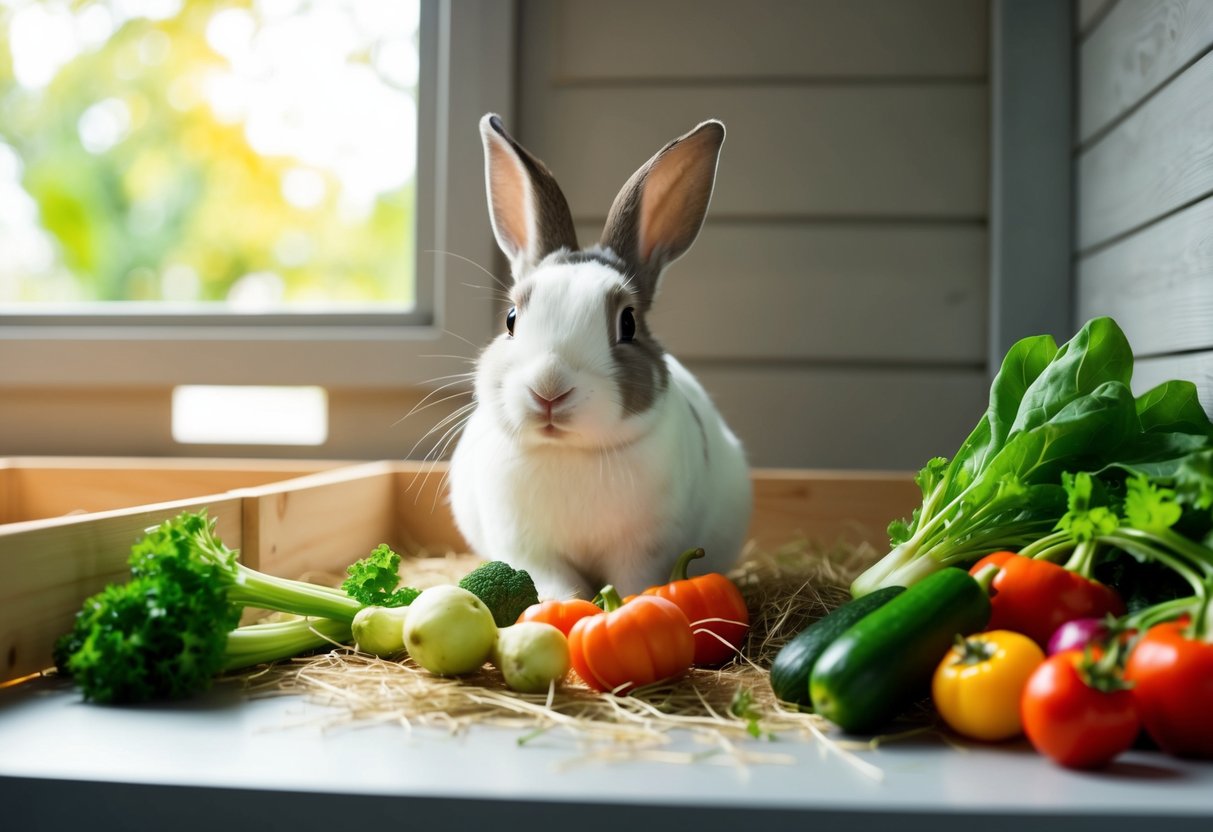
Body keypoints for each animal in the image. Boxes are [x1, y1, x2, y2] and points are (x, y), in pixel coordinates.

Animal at [448, 114, 747, 603]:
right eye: (511, 319)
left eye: (628, 323)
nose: (549, 389)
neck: (569, 452)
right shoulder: (530, 550)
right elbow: (554, 585)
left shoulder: (643, 551)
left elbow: (633, 583)